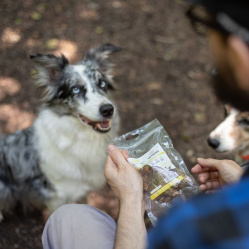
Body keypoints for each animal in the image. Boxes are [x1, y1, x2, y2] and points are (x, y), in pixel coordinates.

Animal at [0, 43, 121, 220]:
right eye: (75, 89)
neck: (82, 138)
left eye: (103, 84)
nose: (108, 110)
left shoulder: (81, 190)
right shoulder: (56, 198)